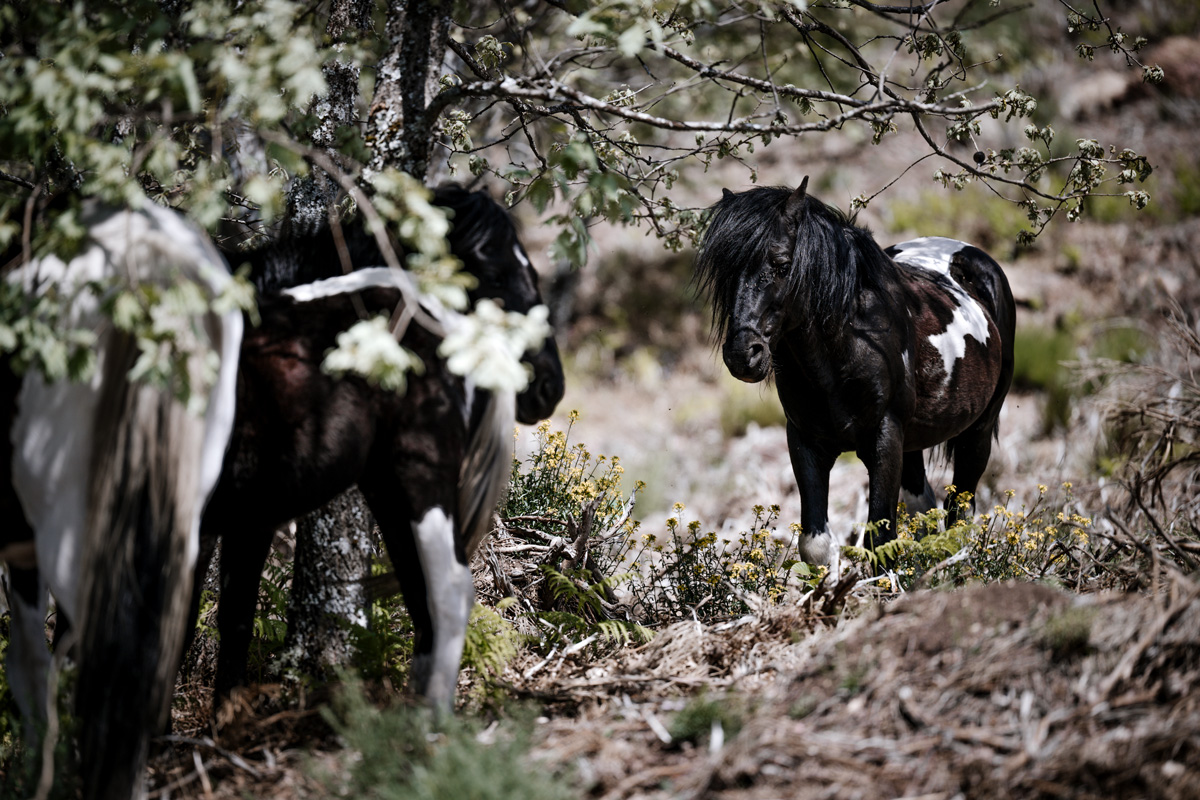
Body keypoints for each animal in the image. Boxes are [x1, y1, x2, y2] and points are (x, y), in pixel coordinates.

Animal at [194, 186, 562, 711]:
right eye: (498, 274)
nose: (552, 386)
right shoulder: (243, 517)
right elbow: (229, 622)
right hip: (392, 488)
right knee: (425, 596)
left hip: (415, 481)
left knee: (446, 593)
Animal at [695, 178, 1015, 570]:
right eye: (725, 271)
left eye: (782, 264)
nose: (743, 354)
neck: (848, 347)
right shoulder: (806, 442)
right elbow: (815, 545)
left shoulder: (884, 438)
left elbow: (881, 541)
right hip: (913, 444)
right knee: (926, 511)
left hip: (977, 433)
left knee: (958, 515)